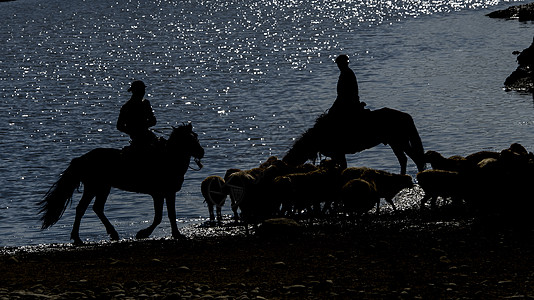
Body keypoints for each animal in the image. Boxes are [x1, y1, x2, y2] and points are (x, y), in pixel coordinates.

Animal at [38, 123, 205, 245]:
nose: (201, 152)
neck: (168, 159)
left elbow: (169, 214)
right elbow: (161, 216)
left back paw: (111, 234)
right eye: (188, 139)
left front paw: (175, 234)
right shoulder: (159, 194)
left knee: (96, 208)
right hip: (93, 187)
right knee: (82, 209)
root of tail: (81, 159)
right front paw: (144, 233)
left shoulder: (168, 193)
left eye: (196, 137)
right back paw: (79, 238)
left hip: (103, 188)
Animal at [284, 107, 428, 175]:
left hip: (400, 142)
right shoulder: (336, 155)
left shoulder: (338, 153)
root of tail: (406, 116)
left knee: (416, 159)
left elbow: (342, 167)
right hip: (395, 143)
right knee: (404, 159)